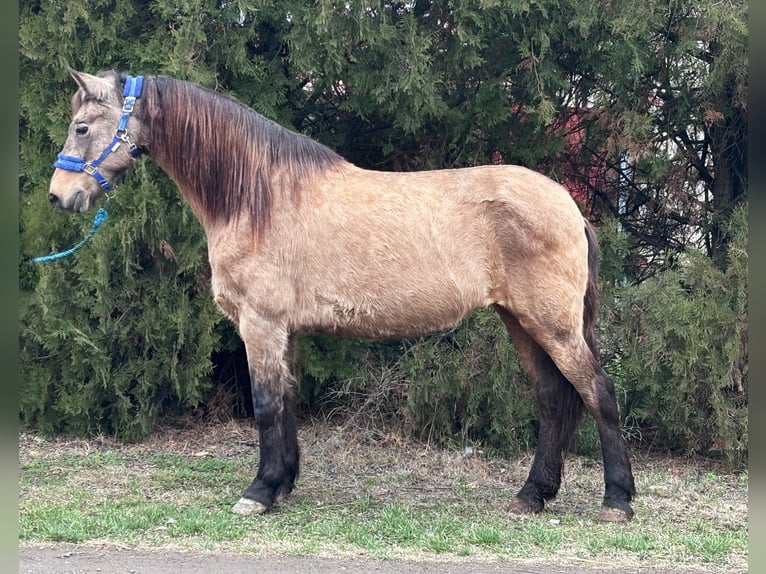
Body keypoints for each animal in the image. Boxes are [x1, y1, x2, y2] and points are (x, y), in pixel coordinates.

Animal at [47, 69, 636, 522]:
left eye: (82, 126)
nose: (59, 196)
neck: (257, 195)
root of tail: (567, 204)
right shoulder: (281, 330)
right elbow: (285, 402)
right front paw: (282, 483)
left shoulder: (260, 323)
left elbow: (265, 405)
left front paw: (258, 492)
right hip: (521, 322)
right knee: (553, 400)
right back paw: (533, 495)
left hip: (552, 325)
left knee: (598, 393)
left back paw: (617, 501)